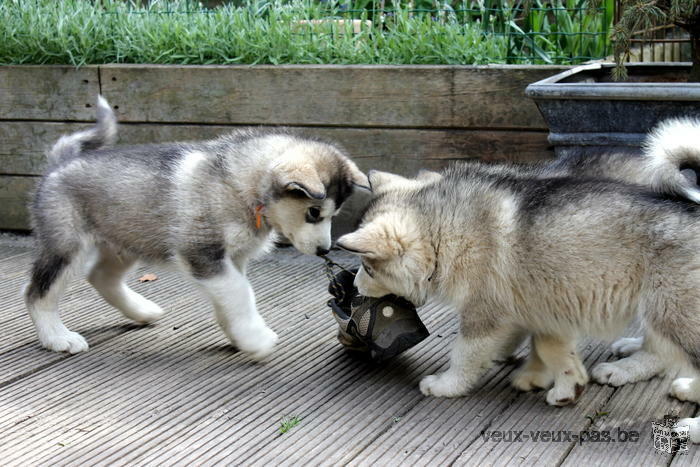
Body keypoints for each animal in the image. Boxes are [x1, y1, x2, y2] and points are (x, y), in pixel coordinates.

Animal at [24, 97, 370, 360]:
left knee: (100, 276)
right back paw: (58, 338)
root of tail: (58, 164)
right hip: (66, 246)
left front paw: (240, 336)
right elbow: (240, 292)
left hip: (127, 239)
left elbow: (233, 296)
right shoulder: (203, 253)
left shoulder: (233, 259)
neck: (242, 186)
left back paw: (142, 311)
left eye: (333, 213)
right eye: (314, 212)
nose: (324, 250)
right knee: (37, 294)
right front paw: (256, 339)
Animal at [336, 119, 700, 440]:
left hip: (670, 310)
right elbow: (550, 346)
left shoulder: (484, 312)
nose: (353, 287)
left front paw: (447, 384)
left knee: (667, 351)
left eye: (369, 269)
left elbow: (464, 353)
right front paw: (560, 381)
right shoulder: (545, 300)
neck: (446, 231)